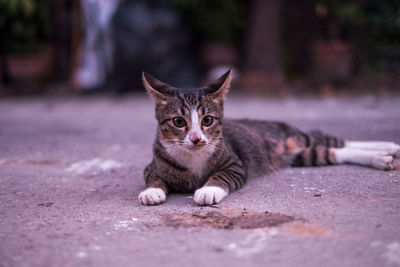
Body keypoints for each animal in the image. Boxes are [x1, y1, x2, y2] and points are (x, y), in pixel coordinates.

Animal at [138, 69, 400, 207]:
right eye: (179, 122)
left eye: (208, 120)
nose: (195, 139)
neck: (193, 158)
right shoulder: (151, 166)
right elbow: (153, 177)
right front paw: (152, 191)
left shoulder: (236, 164)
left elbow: (222, 175)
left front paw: (208, 189)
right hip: (301, 155)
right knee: (335, 151)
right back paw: (383, 156)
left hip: (297, 137)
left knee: (332, 140)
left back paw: (388, 148)